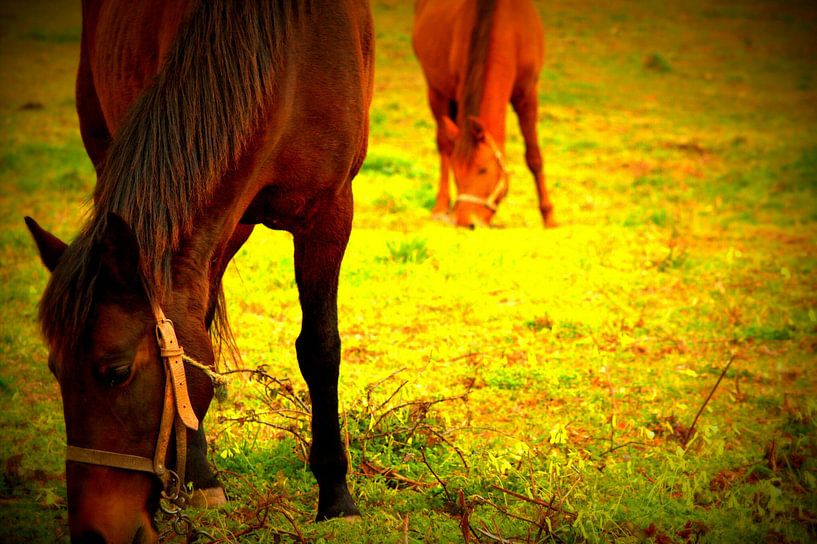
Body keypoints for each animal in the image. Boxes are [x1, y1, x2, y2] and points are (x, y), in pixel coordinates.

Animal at [24, 1, 374, 541]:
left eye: (115, 373)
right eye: (55, 372)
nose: (94, 534)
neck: (290, 59)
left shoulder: (330, 211)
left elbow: (320, 348)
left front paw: (336, 498)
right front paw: (202, 477)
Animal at [412, 0, 554, 228]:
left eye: (483, 170)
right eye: (457, 173)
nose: (467, 222)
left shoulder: (527, 93)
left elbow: (534, 156)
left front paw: (549, 216)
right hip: (436, 90)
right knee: (444, 144)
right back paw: (441, 205)